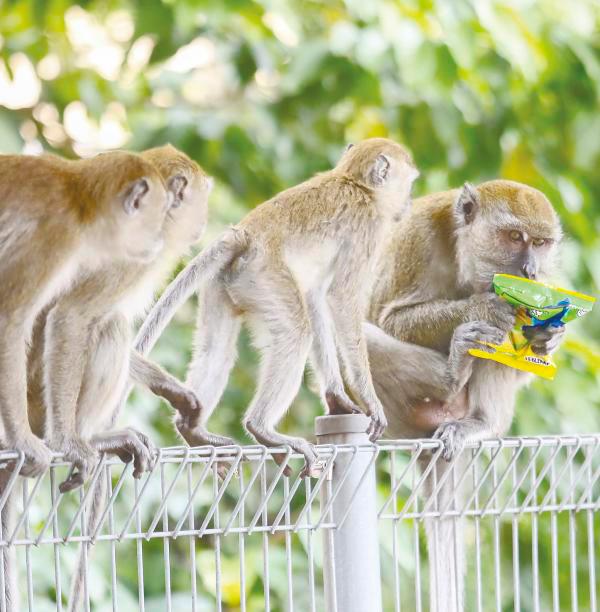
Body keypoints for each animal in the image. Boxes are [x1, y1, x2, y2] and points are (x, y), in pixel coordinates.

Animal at [0, 153, 169, 478]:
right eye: (160, 212)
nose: (159, 240)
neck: (80, 201)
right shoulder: (54, 237)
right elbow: (14, 320)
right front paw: (48, 440)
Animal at [134, 139, 420, 474]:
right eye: (409, 183)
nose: (409, 203)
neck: (353, 181)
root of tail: (245, 233)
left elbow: (315, 297)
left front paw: (336, 397)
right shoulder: (369, 229)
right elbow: (341, 298)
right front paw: (369, 401)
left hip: (222, 283)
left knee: (217, 350)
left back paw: (193, 429)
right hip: (264, 275)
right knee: (296, 332)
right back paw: (261, 428)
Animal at [366, 180, 564, 612]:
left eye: (541, 243)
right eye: (514, 237)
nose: (530, 270)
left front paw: (548, 336)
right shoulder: (418, 237)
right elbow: (388, 319)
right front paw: (487, 307)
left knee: (494, 354)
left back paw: (481, 423)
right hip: (396, 414)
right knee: (361, 338)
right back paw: (453, 375)